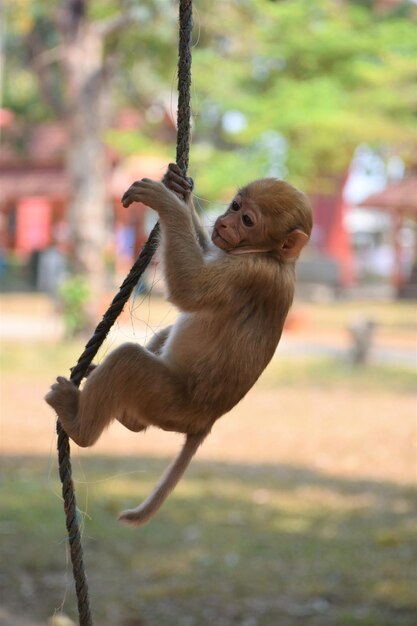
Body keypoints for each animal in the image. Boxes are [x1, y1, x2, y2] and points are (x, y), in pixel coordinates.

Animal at [46, 163, 312, 524]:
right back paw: (125, 415)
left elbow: (191, 288)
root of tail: (204, 423)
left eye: (247, 220)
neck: (275, 258)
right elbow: (206, 251)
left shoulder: (248, 272)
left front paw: (165, 202)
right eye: (235, 206)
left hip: (167, 399)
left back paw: (79, 425)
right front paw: (178, 188)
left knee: (129, 360)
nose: (224, 223)